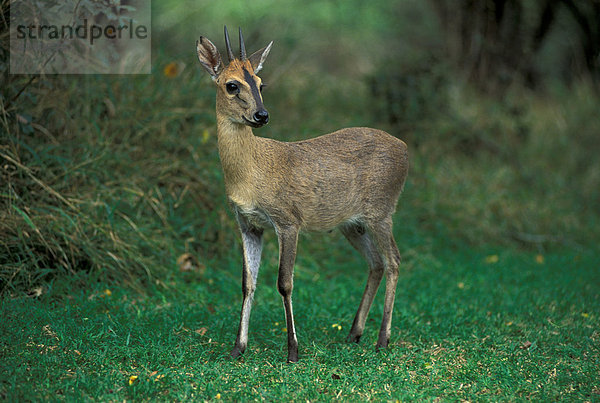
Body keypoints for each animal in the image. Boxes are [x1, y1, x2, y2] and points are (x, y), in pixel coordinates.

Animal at [197, 26, 408, 364]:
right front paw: (237, 348)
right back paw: (354, 333)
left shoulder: (288, 221)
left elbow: (284, 282)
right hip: (352, 224)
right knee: (376, 263)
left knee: (395, 260)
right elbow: (247, 283)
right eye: (231, 85)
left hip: (382, 211)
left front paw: (293, 350)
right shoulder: (248, 224)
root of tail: (405, 149)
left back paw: (383, 339)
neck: (250, 173)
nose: (262, 115)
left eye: (261, 83)